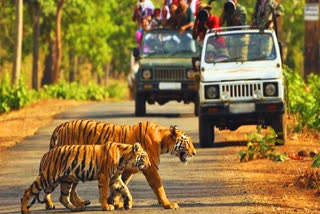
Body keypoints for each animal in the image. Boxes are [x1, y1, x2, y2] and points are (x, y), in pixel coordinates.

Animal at [20, 141, 151, 213]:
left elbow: (125, 189)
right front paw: (106, 207)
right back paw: (25, 210)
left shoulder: (115, 178)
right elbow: (103, 192)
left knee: (63, 197)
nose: (149, 165)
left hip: (64, 180)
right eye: (144, 156)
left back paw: (78, 208)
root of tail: (46, 154)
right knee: (28, 190)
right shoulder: (105, 176)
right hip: (48, 177)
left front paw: (128, 203)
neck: (124, 160)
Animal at [48, 119, 196, 210]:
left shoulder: (126, 170)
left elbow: (120, 186)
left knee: (70, 188)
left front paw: (113, 201)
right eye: (187, 142)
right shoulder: (151, 168)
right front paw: (168, 204)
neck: (162, 141)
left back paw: (78, 203)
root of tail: (61, 126)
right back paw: (65, 204)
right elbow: (158, 186)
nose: (194, 153)